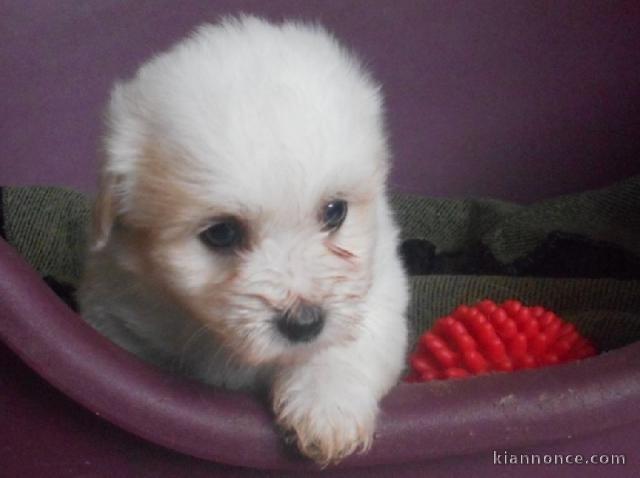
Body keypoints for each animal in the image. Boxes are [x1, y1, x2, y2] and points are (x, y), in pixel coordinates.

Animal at [77, 15, 408, 466]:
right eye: (221, 233)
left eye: (335, 212)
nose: (305, 324)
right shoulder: (116, 309)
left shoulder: (381, 288)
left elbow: (350, 342)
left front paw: (326, 408)